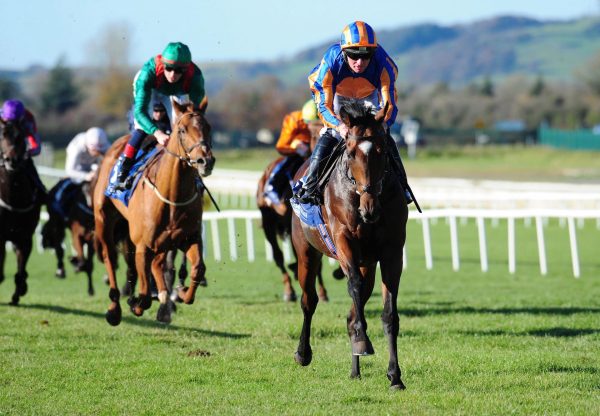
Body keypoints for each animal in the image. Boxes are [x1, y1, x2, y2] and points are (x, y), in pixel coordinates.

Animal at [92, 100, 214, 324]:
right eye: (182, 130)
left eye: (208, 127)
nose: (205, 161)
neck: (173, 195)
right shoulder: (143, 245)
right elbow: (145, 295)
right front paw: (136, 303)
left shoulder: (188, 238)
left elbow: (197, 269)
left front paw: (180, 293)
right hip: (104, 219)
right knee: (110, 256)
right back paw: (115, 307)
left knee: (159, 265)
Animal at [290, 101, 408, 390]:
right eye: (351, 152)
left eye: (382, 150)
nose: (369, 208)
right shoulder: (344, 241)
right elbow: (352, 284)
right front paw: (363, 341)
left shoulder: (392, 252)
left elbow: (389, 314)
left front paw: (395, 375)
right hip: (306, 251)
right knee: (309, 300)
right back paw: (303, 353)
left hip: (368, 262)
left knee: (353, 310)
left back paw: (355, 369)